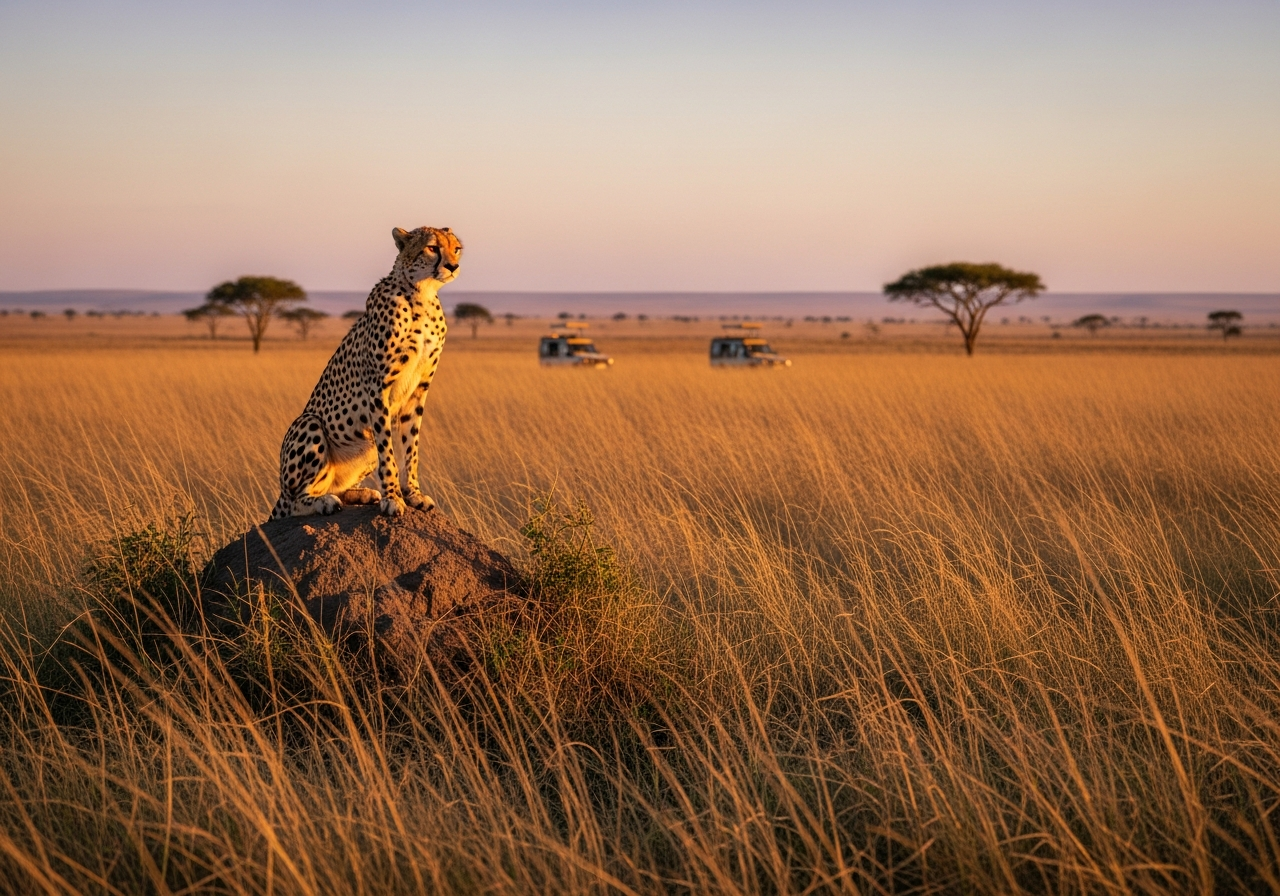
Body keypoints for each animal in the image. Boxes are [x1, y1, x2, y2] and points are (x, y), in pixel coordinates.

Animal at [270, 225, 462, 520]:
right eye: (432, 248)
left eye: (456, 248)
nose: (453, 266)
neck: (422, 297)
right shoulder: (379, 388)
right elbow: (389, 454)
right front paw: (393, 497)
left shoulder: (419, 390)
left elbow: (411, 449)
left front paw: (414, 494)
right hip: (310, 424)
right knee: (295, 501)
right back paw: (323, 502)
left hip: (364, 446)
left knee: (334, 487)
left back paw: (361, 493)